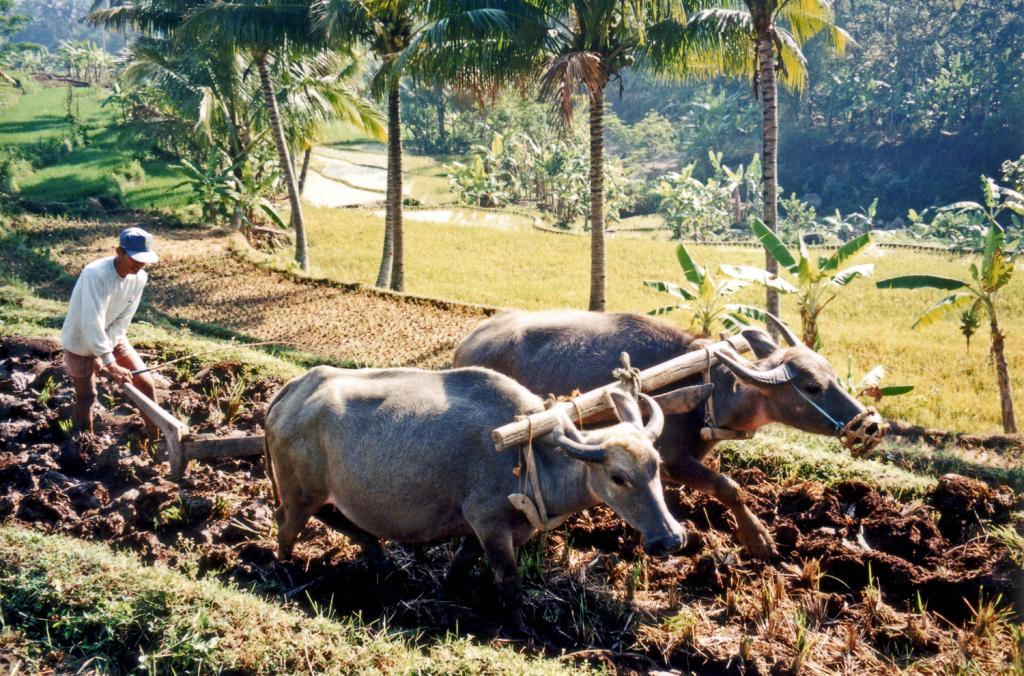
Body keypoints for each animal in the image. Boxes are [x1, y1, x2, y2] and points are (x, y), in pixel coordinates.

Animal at [264, 366, 684, 606]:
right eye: (619, 478)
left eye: (656, 467)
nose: (671, 538)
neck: (533, 456)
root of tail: (291, 391)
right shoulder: (490, 523)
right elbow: (508, 581)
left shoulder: (481, 529)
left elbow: (462, 562)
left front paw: (448, 591)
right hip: (300, 491)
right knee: (287, 524)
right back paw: (285, 571)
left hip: (318, 493)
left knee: (335, 518)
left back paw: (379, 557)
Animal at [452, 309, 884, 557]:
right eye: (811, 386)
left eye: (833, 374)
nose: (871, 425)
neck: (710, 390)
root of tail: (465, 344)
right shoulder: (676, 460)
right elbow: (730, 488)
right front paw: (759, 540)